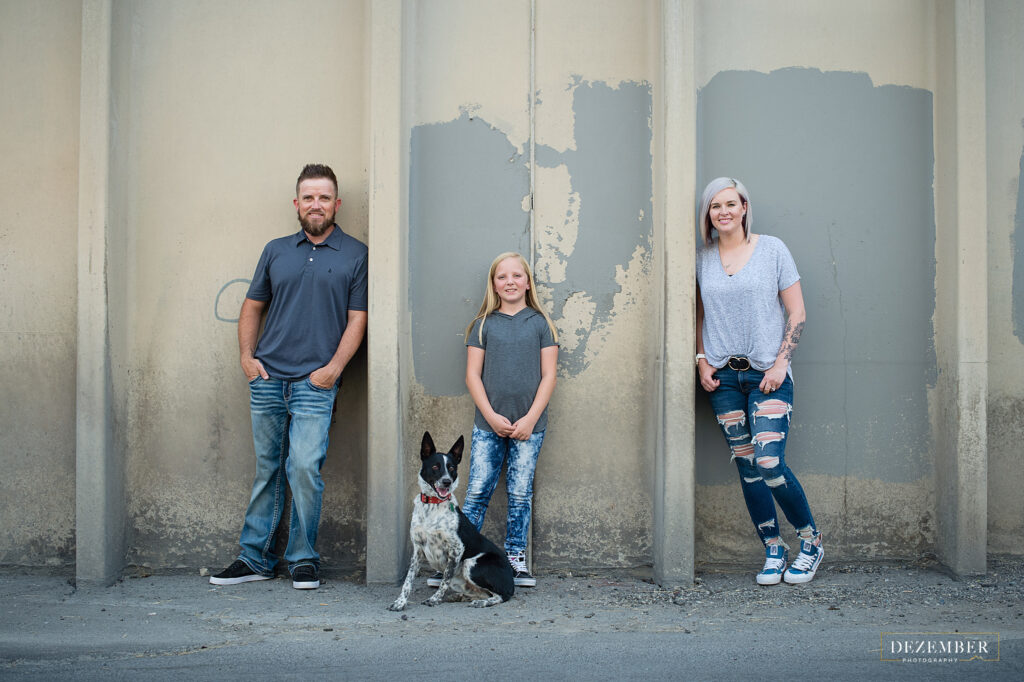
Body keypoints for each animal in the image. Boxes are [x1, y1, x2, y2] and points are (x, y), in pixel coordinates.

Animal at [385, 430, 512, 610]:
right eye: (435, 467)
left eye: (451, 468)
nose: (447, 481)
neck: (432, 505)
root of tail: (512, 581)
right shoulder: (417, 549)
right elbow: (408, 580)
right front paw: (400, 602)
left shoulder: (457, 548)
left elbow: (444, 579)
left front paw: (435, 599)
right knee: (482, 592)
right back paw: (460, 596)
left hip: (471, 563)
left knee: (501, 595)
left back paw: (481, 602)